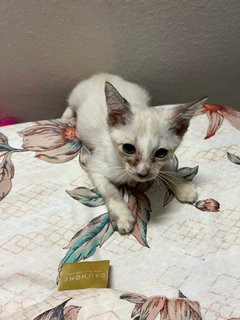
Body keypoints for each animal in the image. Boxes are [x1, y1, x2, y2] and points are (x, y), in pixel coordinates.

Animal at [62, 75, 206, 235]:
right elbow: (111, 192)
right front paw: (122, 216)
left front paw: (182, 185)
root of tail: (101, 74)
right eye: (128, 148)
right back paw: (68, 119)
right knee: (71, 105)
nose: (143, 173)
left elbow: (166, 168)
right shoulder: (94, 166)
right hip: (77, 96)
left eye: (161, 153)